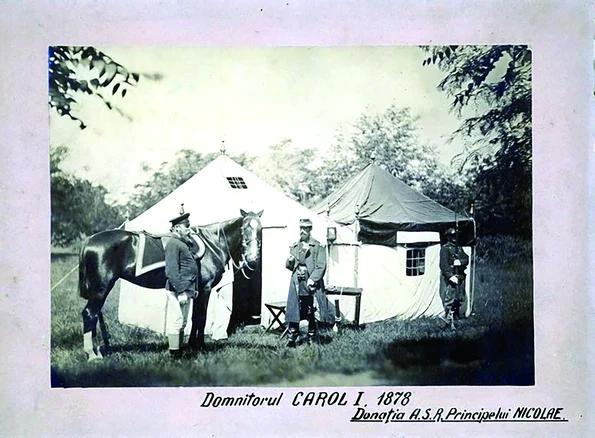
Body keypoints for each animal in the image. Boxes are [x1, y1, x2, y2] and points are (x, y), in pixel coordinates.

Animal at [79, 210, 264, 360]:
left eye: (261, 229)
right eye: (244, 228)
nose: (253, 258)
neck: (212, 244)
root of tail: (89, 240)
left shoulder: (196, 291)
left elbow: (194, 318)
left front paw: (191, 345)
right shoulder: (205, 289)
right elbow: (201, 318)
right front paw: (200, 346)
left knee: (93, 316)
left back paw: (97, 351)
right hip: (101, 289)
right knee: (89, 314)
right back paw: (92, 354)